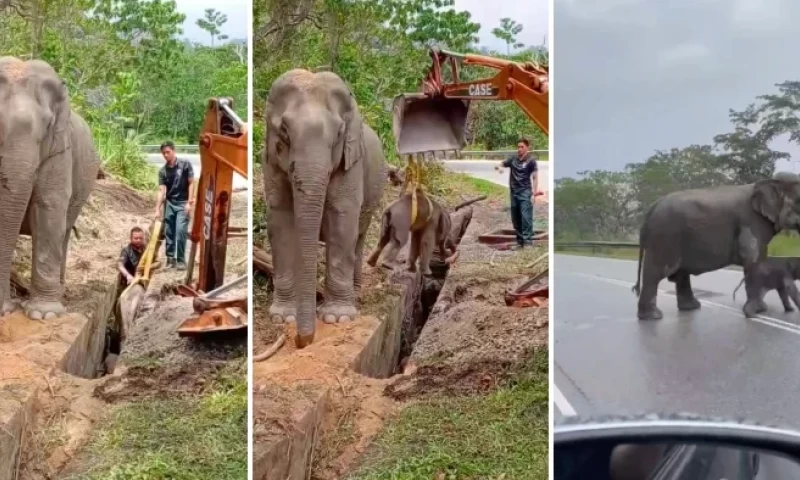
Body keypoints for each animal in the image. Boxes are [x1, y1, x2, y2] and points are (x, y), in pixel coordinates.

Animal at [264, 68, 386, 348]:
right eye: (284, 131)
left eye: (339, 133)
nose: (303, 341)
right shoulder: (270, 161)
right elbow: (280, 221)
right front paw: (283, 317)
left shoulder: (351, 162)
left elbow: (342, 220)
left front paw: (337, 318)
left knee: (358, 237)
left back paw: (356, 293)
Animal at [636, 172, 800, 318]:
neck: (771, 181)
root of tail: (653, 207)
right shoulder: (751, 222)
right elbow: (753, 258)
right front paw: (760, 310)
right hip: (665, 237)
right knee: (655, 272)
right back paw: (653, 316)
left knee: (681, 273)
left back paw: (690, 308)